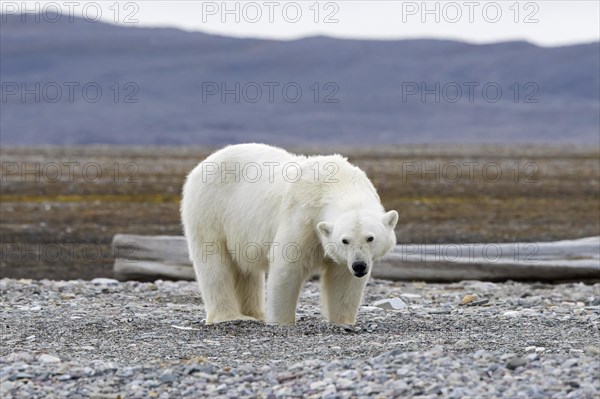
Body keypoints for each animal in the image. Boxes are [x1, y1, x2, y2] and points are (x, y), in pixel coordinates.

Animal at [182, 144, 398, 324]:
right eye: (345, 240)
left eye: (370, 238)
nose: (359, 265)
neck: (337, 183)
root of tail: (202, 164)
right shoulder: (302, 219)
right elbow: (287, 267)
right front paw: (282, 322)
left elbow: (344, 279)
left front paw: (343, 322)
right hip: (210, 210)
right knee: (213, 264)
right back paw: (230, 317)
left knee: (245, 270)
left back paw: (255, 314)